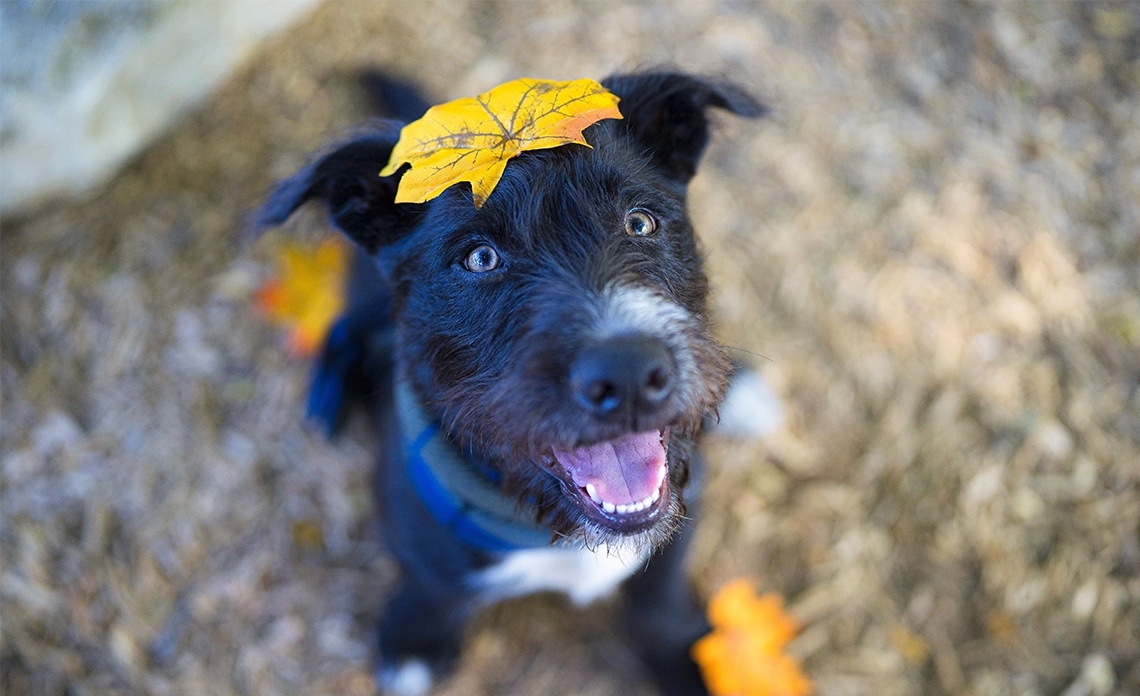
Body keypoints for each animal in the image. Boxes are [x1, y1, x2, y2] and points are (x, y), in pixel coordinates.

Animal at [256, 68, 766, 692]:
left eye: (640, 221)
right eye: (480, 258)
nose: (628, 371)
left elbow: (658, 604)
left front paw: (693, 665)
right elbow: (432, 588)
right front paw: (415, 644)